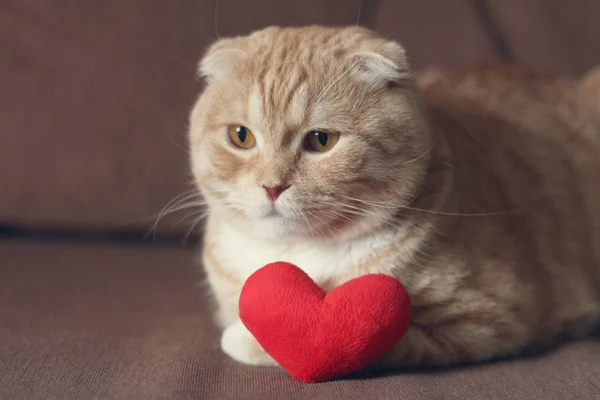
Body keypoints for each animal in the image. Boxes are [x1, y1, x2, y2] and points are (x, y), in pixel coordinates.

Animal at [189, 24, 600, 368]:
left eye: (321, 140)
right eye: (241, 136)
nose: (271, 186)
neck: (294, 254)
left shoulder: (486, 318)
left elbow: (379, 343)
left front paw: (248, 340)